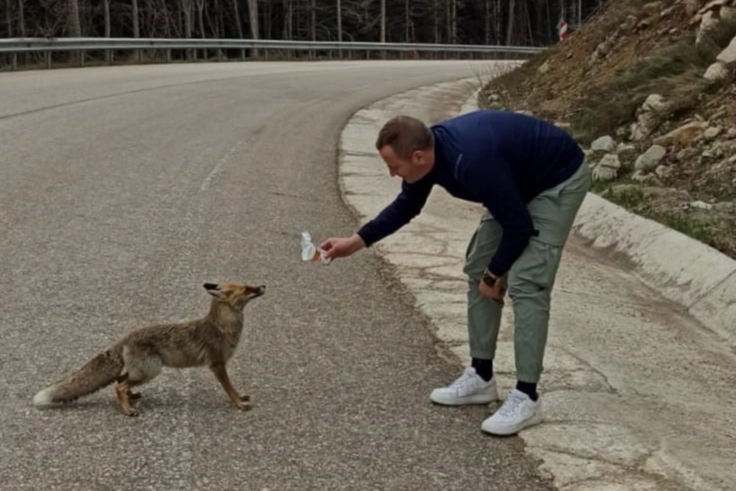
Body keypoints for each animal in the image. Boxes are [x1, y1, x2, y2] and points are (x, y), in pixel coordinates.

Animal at [33, 282, 268, 418]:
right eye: (247, 289)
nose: (263, 285)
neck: (223, 327)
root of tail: (125, 338)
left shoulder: (219, 365)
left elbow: (233, 388)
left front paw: (241, 397)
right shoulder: (217, 364)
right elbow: (229, 389)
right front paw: (239, 403)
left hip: (142, 371)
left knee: (120, 381)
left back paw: (131, 398)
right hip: (150, 371)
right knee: (119, 386)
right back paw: (127, 409)